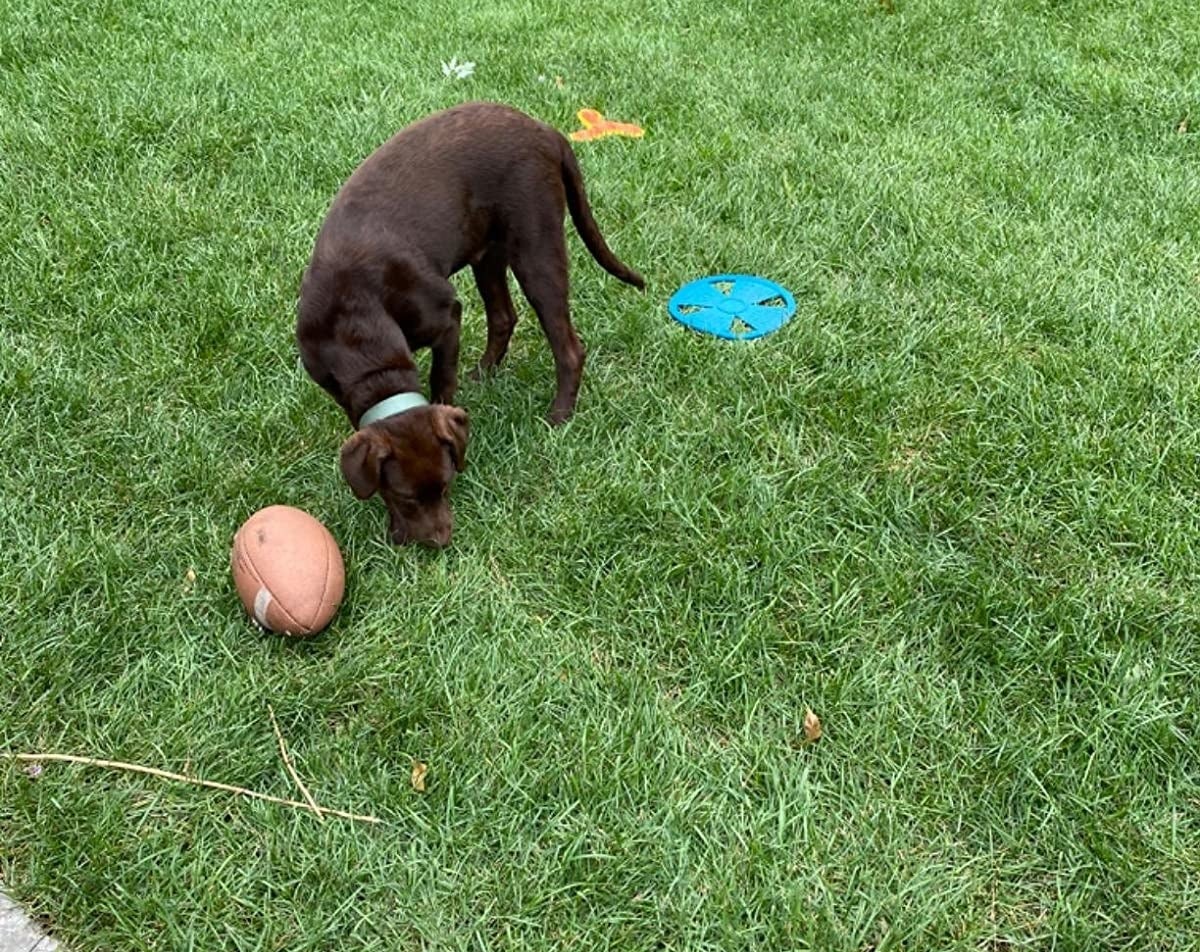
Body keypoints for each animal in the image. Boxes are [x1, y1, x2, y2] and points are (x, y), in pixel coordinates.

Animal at [296, 100, 643, 545]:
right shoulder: (333, 380)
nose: (441, 542)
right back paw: (484, 373)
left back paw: (559, 415)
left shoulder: (446, 319)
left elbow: (441, 379)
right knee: (504, 316)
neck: (353, 322)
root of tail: (545, 131)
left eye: (446, 486)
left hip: (536, 248)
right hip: (488, 251)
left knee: (568, 346)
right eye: (405, 498)